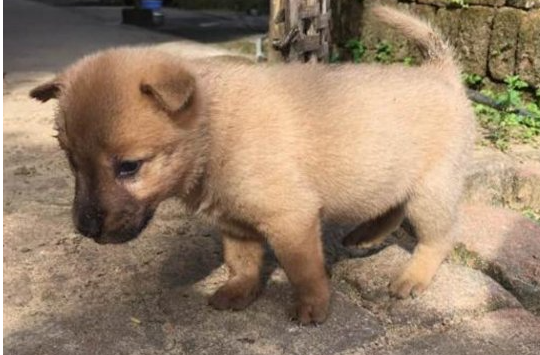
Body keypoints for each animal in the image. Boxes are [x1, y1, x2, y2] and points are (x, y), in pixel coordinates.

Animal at [31, 7, 474, 326]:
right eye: (72, 162)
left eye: (128, 167)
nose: (85, 229)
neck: (217, 129)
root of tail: (442, 74)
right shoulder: (234, 222)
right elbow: (240, 262)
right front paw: (239, 292)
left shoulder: (291, 220)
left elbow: (303, 269)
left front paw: (313, 307)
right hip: (396, 175)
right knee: (392, 207)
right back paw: (364, 236)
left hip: (432, 189)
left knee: (439, 236)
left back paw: (411, 277)